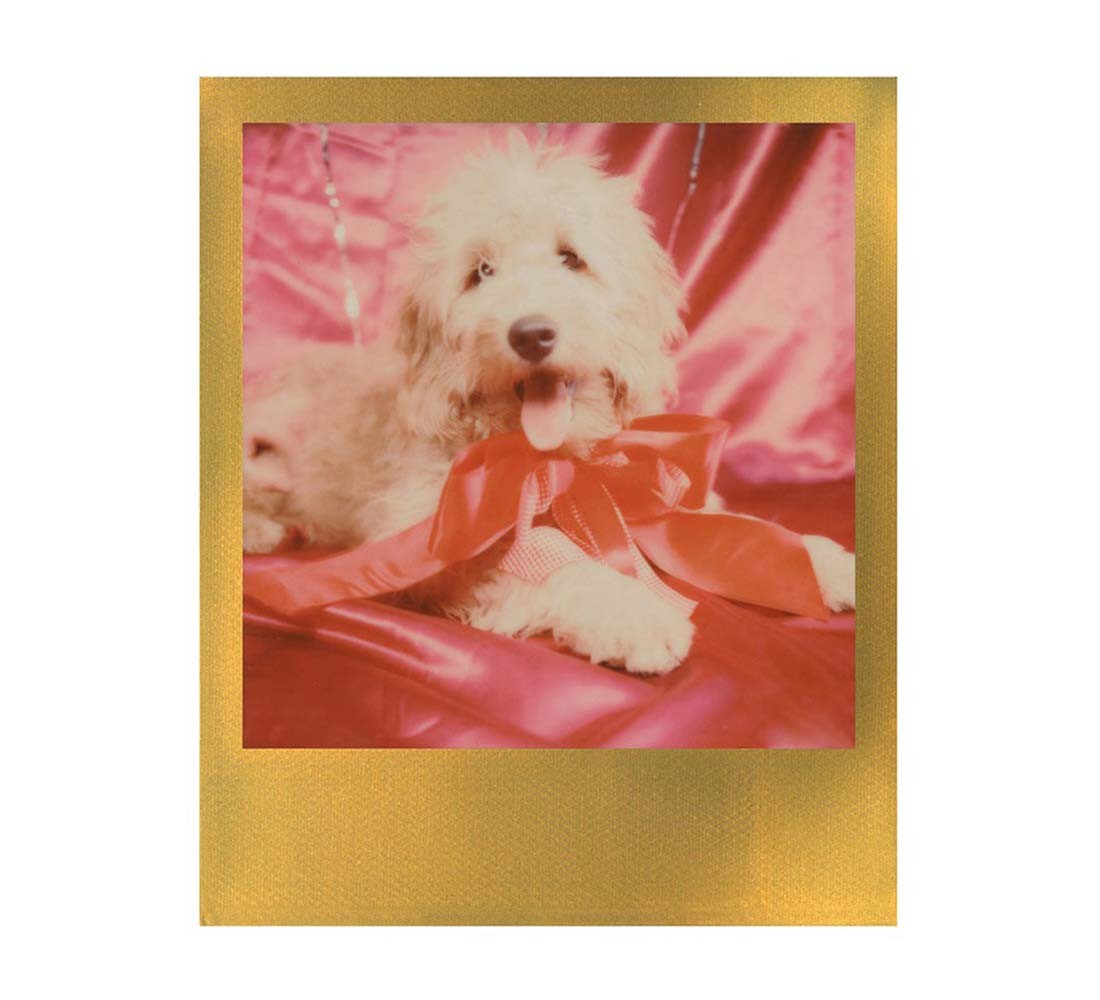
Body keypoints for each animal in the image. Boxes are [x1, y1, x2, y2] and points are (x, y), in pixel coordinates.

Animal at [243, 133, 855, 675]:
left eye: (571, 259)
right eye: (481, 272)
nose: (532, 334)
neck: (560, 459)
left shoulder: (643, 480)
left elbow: (722, 524)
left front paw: (822, 559)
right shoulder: (426, 539)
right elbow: (552, 556)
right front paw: (629, 611)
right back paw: (264, 531)